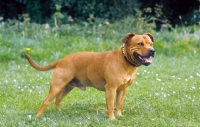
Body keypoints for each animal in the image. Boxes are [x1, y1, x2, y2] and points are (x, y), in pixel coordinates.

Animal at [26, 32, 155, 120]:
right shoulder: (111, 89)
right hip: (57, 86)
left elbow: (119, 104)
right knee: (46, 101)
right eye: (140, 44)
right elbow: (110, 105)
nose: (152, 51)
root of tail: (62, 60)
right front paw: (112, 119)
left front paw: (119, 115)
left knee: (58, 98)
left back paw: (57, 112)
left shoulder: (122, 90)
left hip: (67, 86)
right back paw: (38, 116)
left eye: (151, 44)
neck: (125, 61)